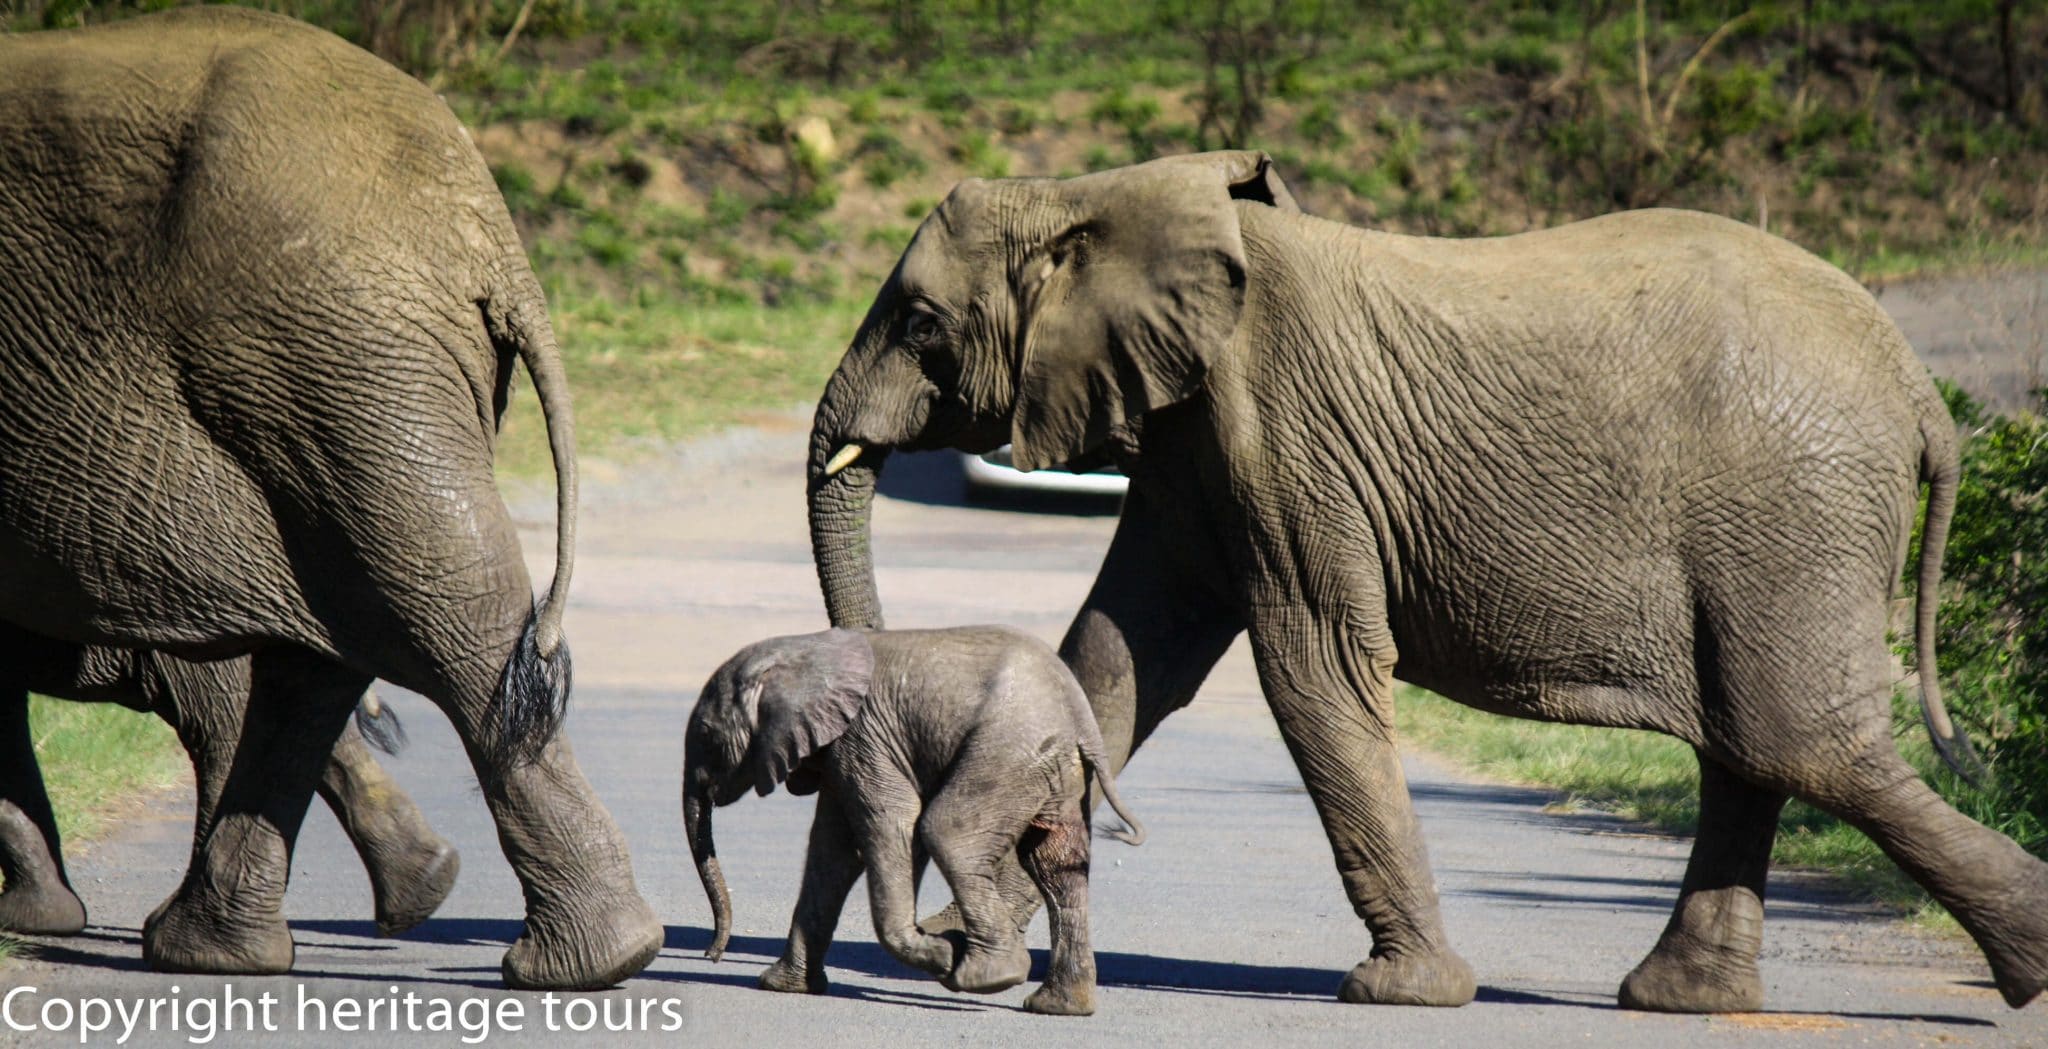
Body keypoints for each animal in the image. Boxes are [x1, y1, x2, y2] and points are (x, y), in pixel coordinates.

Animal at [684, 626, 1145, 1016]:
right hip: (1054, 771)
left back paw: (984, 975)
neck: (805, 647)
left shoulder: (864, 738)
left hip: (1007, 755)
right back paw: (1057, 1005)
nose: (712, 955)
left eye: (705, 733)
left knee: (947, 832)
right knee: (1055, 865)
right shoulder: (843, 752)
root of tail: (1080, 717)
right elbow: (832, 852)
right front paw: (782, 985)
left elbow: (892, 827)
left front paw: (945, 954)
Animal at [801, 150, 2048, 1013]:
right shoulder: (1188, 442)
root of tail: (1921, 393)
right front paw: (979, 956)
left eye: (917, 322)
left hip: (1792, 512)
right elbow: (1118, 657)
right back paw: (1680, 1000)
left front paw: (1398, 994)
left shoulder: (1282, 432)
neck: (1098, 188)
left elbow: (1312, 667)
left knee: (1799, 745)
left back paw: (2024, 965)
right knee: (1750, 747)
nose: (932, 940)